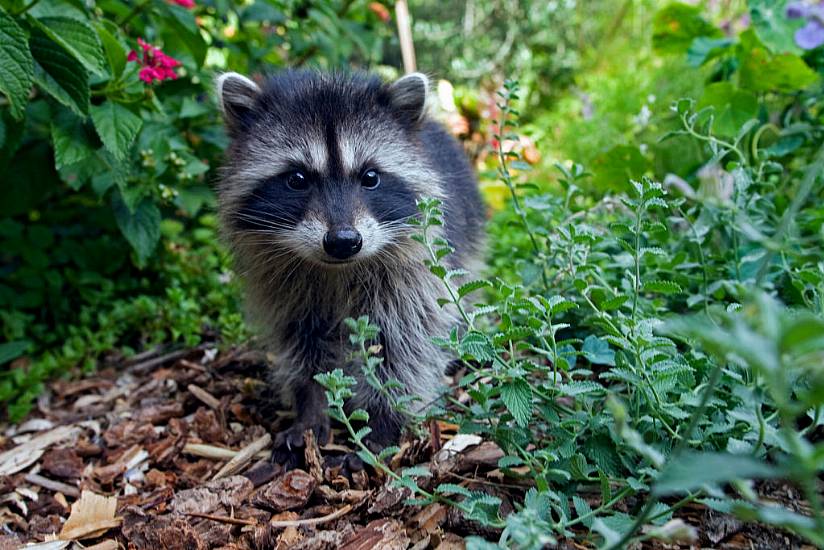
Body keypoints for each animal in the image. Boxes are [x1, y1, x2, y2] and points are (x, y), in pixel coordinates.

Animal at [214, 71, 482, 464]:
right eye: (297, 179)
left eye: (370, 177)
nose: (343, 241)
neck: (336, 270)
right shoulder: (284, 286)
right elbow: (304, 344)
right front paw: (311, 408)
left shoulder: (410, 276)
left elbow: (403, 343)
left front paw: (383, 420)